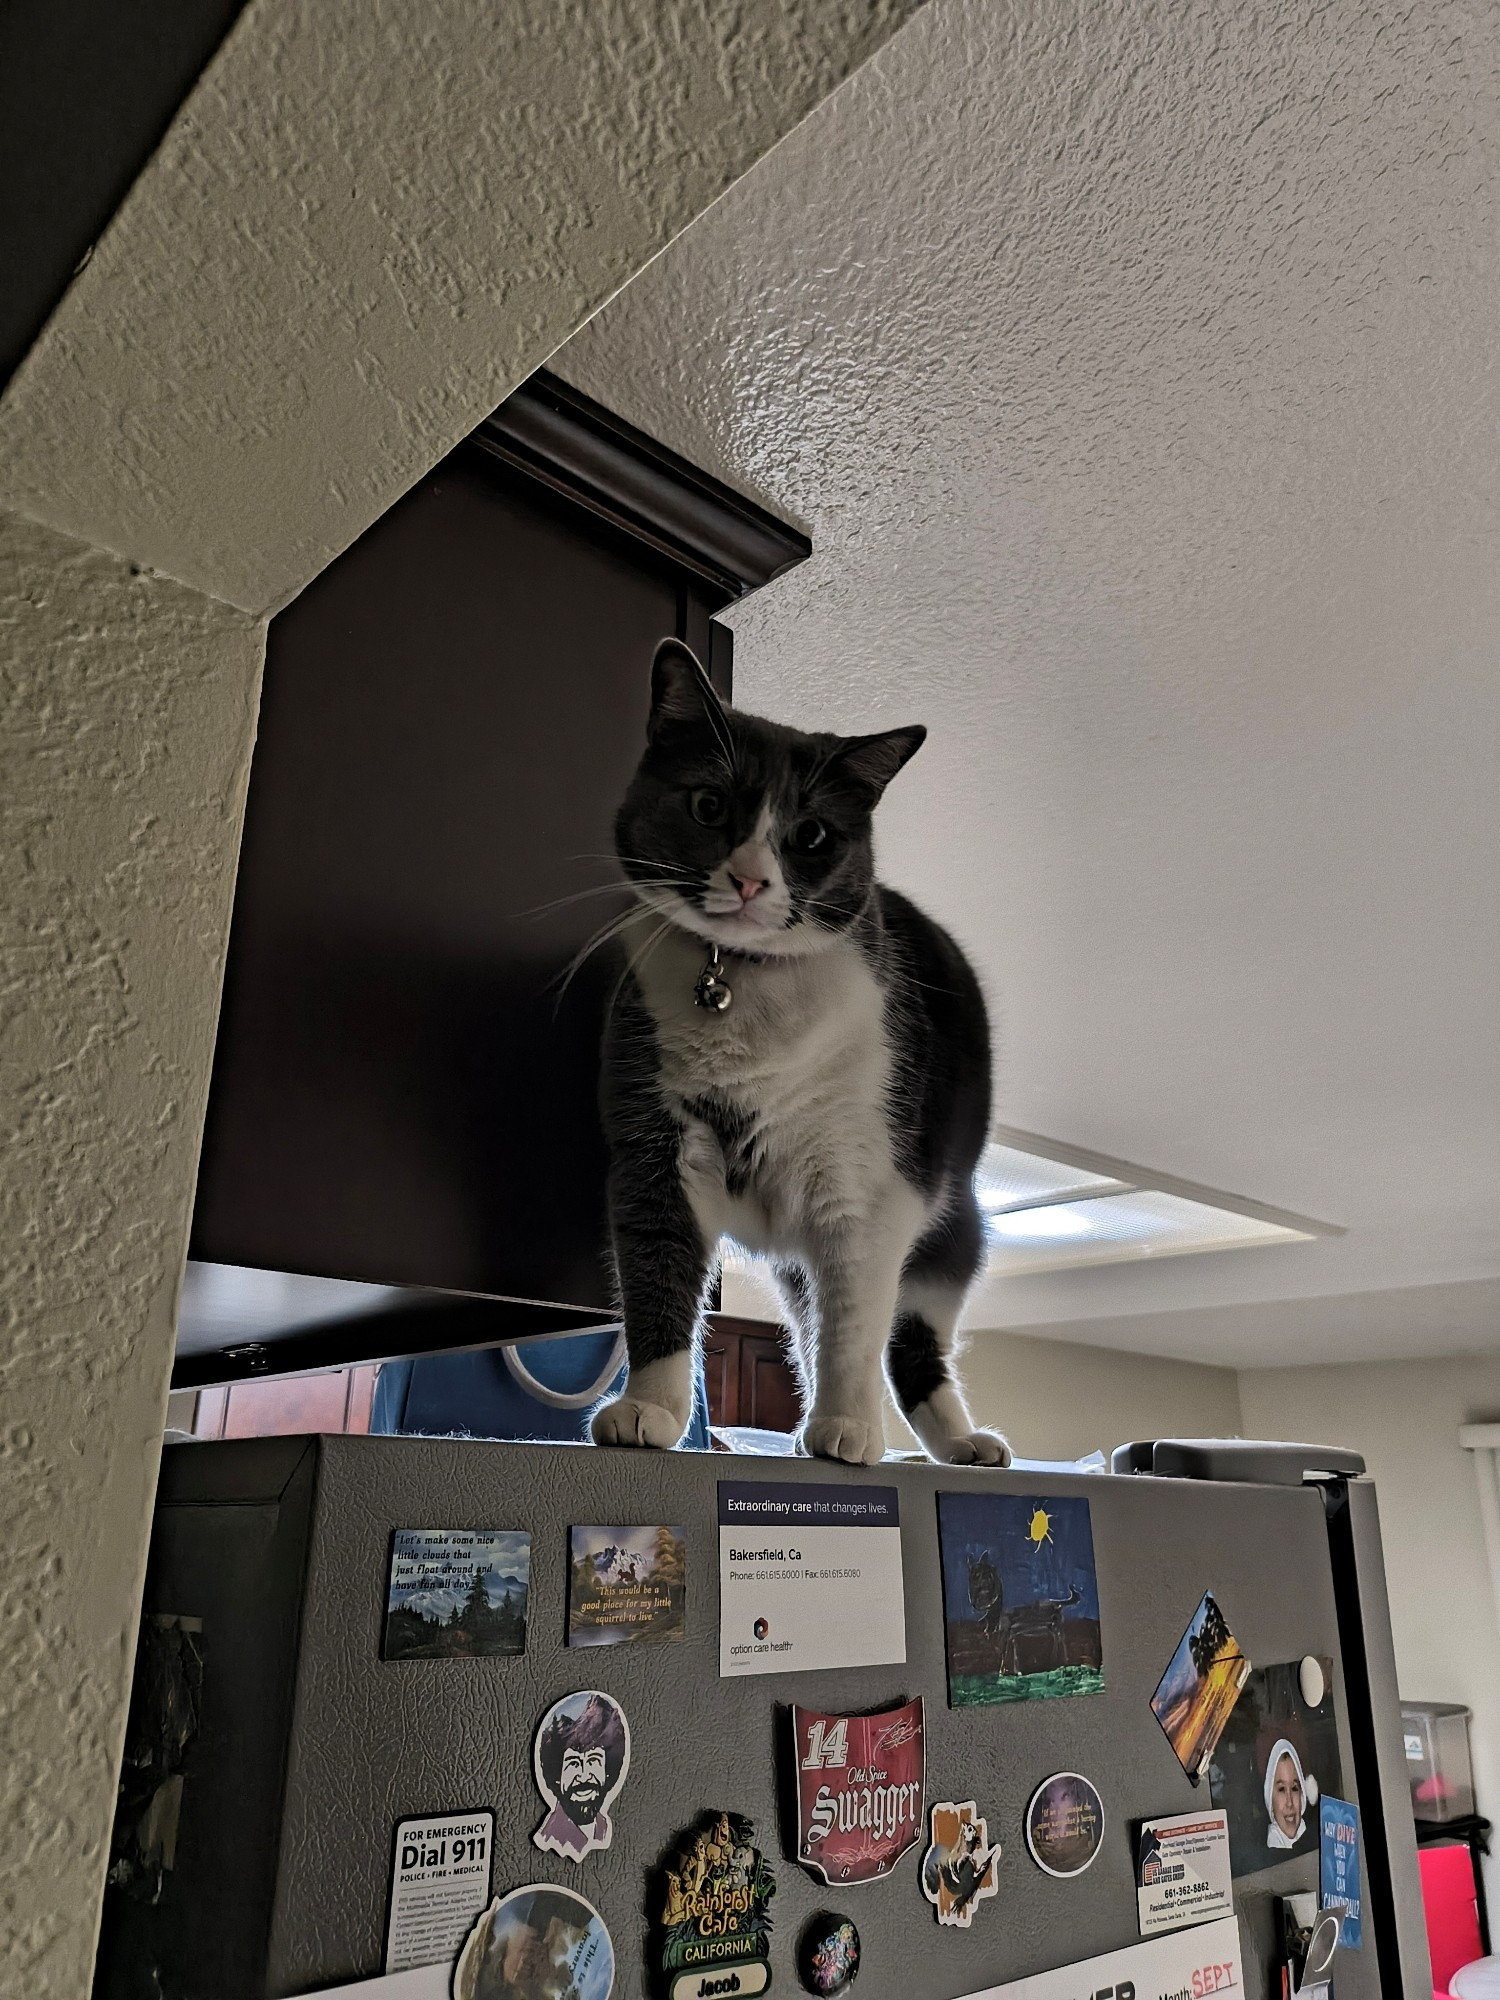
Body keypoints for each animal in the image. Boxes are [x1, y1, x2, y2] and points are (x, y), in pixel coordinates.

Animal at [592, 640, 1012, 1472]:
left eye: (812, 835)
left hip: (955, 1220)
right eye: (708, 806)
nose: (752, 879)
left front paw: (847, 1430)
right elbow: (659, 1277)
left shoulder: (870, 1186)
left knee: (905, 1331)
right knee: (810, 1312)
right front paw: (649, 1411)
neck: (739, 984)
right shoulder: (655, 1152)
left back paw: (957, 1441)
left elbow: (853, 1323)